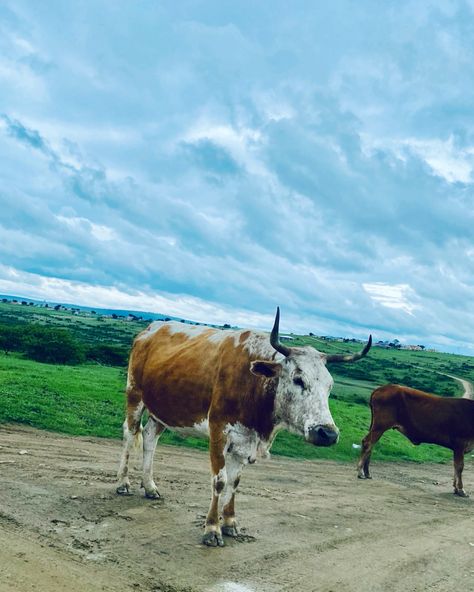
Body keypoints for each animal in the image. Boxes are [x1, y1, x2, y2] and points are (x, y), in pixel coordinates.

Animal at [116, 310, 372, 544]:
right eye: (298, 379)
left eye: (330, 386)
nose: (327, 433)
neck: (254, 385)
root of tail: (151, 328)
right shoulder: (219, 432)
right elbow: (220, 481)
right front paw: (212, 528)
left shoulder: (244, 439)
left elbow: (235, 482)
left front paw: (229, 522)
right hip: (134, 394)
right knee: (130, 434)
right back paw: (123, 483)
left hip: (162, 409)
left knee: (150, 438)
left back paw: (150, 487)